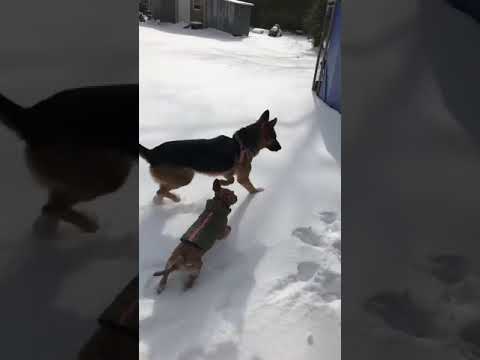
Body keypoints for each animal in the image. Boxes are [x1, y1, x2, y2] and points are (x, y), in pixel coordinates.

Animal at [139, 109, 282, 202]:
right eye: (274, 138)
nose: (280, 148)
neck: (241, 143)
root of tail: (152, 152)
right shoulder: (243, 177)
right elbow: (251, 188)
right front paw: (257, 194)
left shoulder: (228, 173)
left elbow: (230, 180)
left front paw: (221, 183)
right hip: (185, 177)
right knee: (161, 191)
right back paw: (175, 199)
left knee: (160, 190)